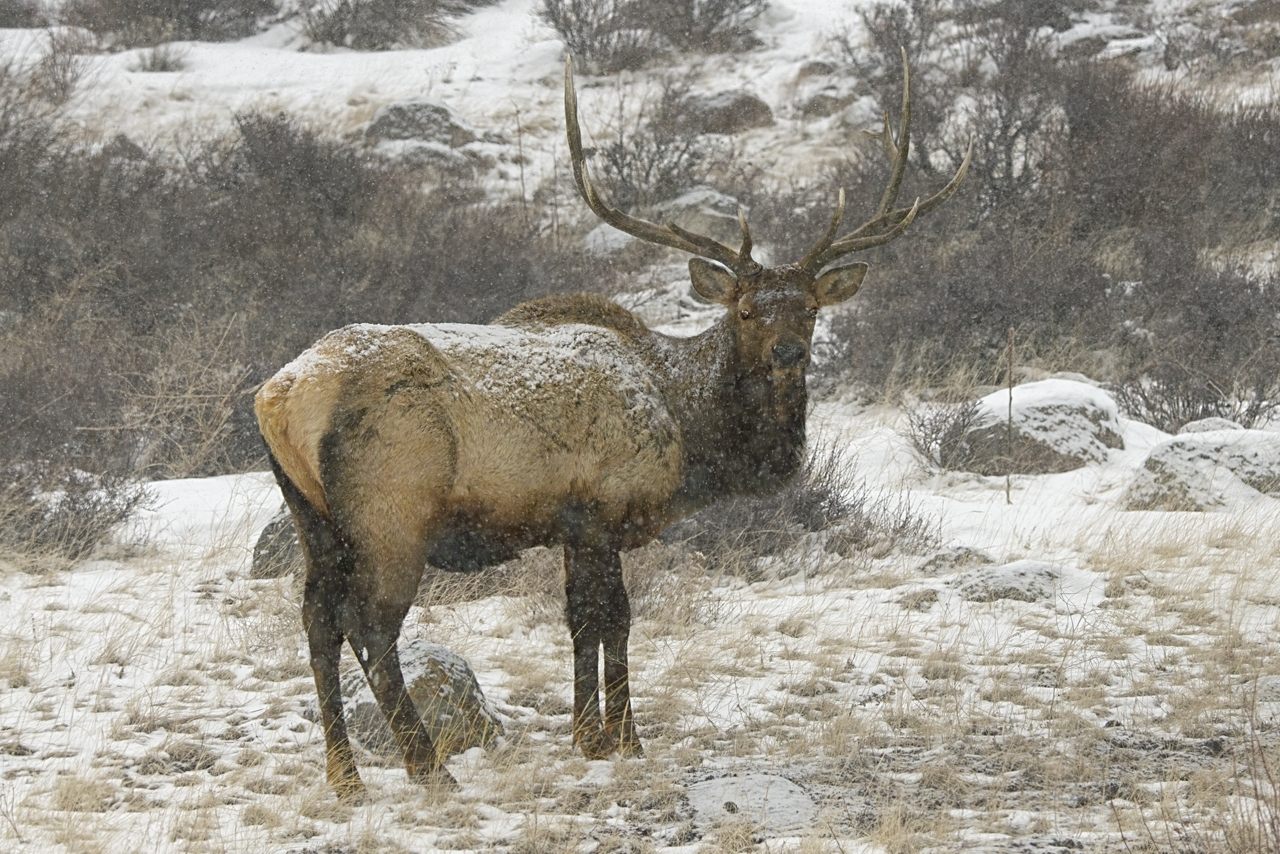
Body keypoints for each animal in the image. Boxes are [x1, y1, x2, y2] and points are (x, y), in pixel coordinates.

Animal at [252, 55, 967, 804]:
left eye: (809, 309)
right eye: (744, 310)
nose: (788, 354)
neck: (690, 433)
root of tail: (280, 395)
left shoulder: (571, 523)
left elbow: (579, 621)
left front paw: (586, 733)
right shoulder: (602, 508)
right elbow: (614, 617)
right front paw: (620, 738)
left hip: (311, 514)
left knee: (315, 621)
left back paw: (345, 775)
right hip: (392, 508)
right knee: (370, 626)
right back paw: (427, 765)